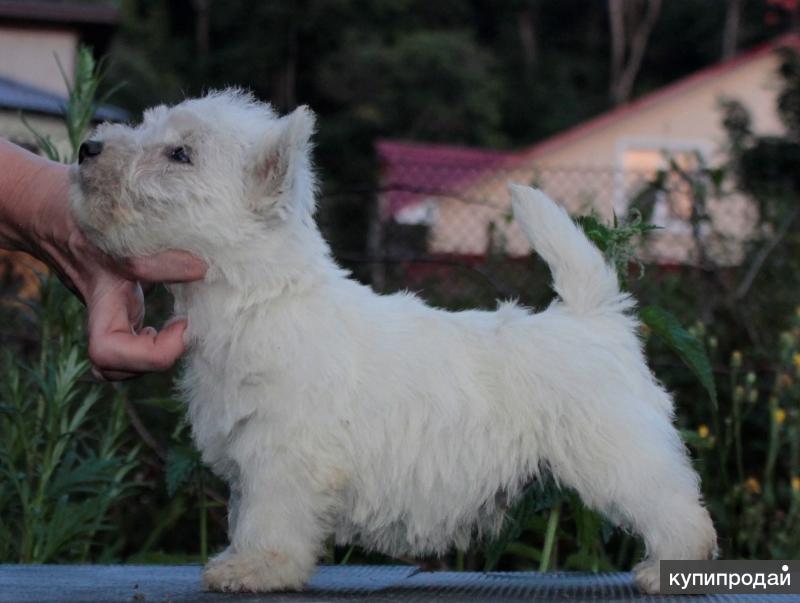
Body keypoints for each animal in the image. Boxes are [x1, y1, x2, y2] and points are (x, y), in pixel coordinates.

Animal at [70, 89, 720, 596]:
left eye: (179, 153)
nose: (87, 149)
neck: (255, 299)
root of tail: (594, 318)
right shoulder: (253, 450)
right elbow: (246, 509)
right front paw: (241, 560)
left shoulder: (282, 452)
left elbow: (269, 516)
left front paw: (257, 569)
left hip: (614, 447)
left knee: (673, 500)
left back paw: (668, 568)